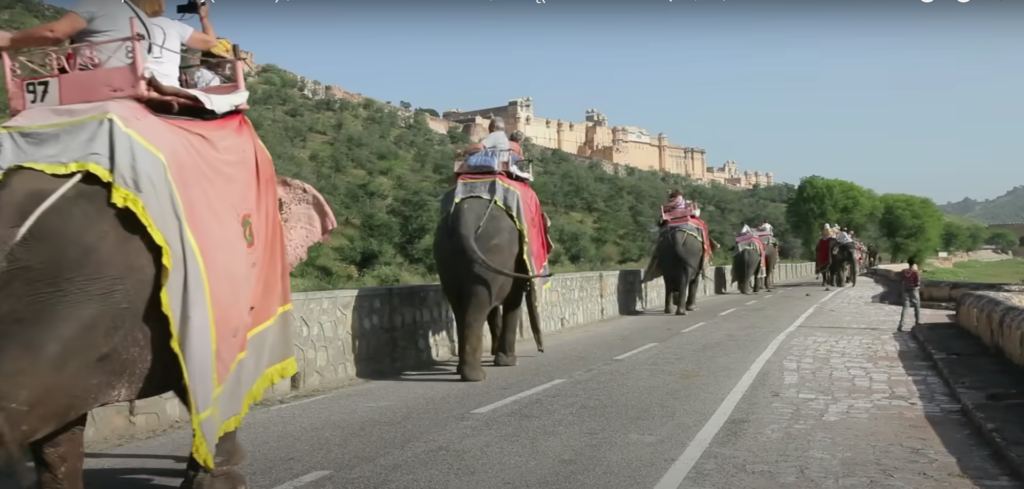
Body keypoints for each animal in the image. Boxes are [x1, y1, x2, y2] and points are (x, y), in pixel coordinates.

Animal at [434, 194, 552, 382]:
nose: (541, 350)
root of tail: (464, 220)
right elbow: (513, 301)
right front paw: (509, 362)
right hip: (493, 254)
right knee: (476, 311)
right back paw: (476, 376)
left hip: (446, 256)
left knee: (461, 309)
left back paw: (463, 370)